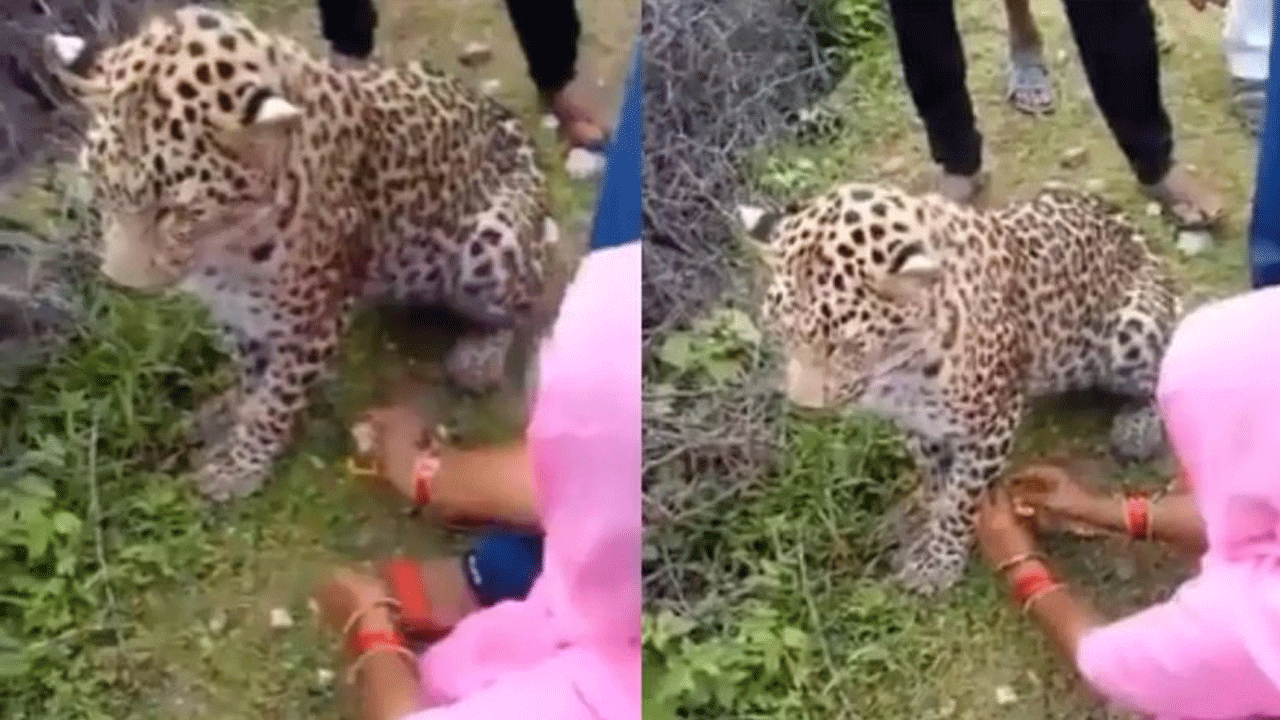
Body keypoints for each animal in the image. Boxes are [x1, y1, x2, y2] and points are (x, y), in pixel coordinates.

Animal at [42, 5, 562, 501]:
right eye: (101, 188)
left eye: (179, 211)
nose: (120, 282)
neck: (226, 248)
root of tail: (512, 123)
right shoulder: (234, 309)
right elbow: (252, 373)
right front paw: (235, 415)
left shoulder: (318, 312)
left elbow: (277, 396)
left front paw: (242, 465)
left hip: (490, 239)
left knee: (526, 302)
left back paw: (479, 357)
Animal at [737, 182, 1180, 595]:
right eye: (780, 331)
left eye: (846, 346)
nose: (804, 407)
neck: (902, 371)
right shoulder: (917, 424)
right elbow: (937, 482)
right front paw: (930, 527)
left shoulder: (992, 420)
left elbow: (962, 498)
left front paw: (940, 561)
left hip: (1129, 329)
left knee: (1161, 368)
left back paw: (1138, 427)